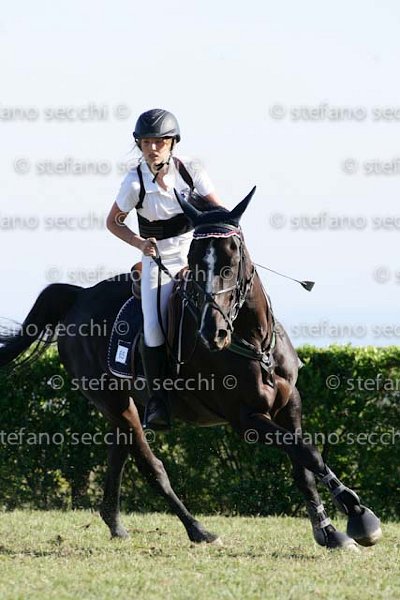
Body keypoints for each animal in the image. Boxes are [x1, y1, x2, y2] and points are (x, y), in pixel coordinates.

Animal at [0, 188, 381, 550]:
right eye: (194, 259)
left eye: (234, 255)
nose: (213, 333)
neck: (256, 343)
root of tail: (78, 297)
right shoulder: (246, 420)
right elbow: (307, 452)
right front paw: (358, 514)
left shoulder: (290, 404)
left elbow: (304, 463)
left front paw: (329, 531)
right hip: (115, 402)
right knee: (151, 465)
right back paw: (198, 530)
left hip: (123, 404)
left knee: (120, 453)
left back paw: (116, 523)